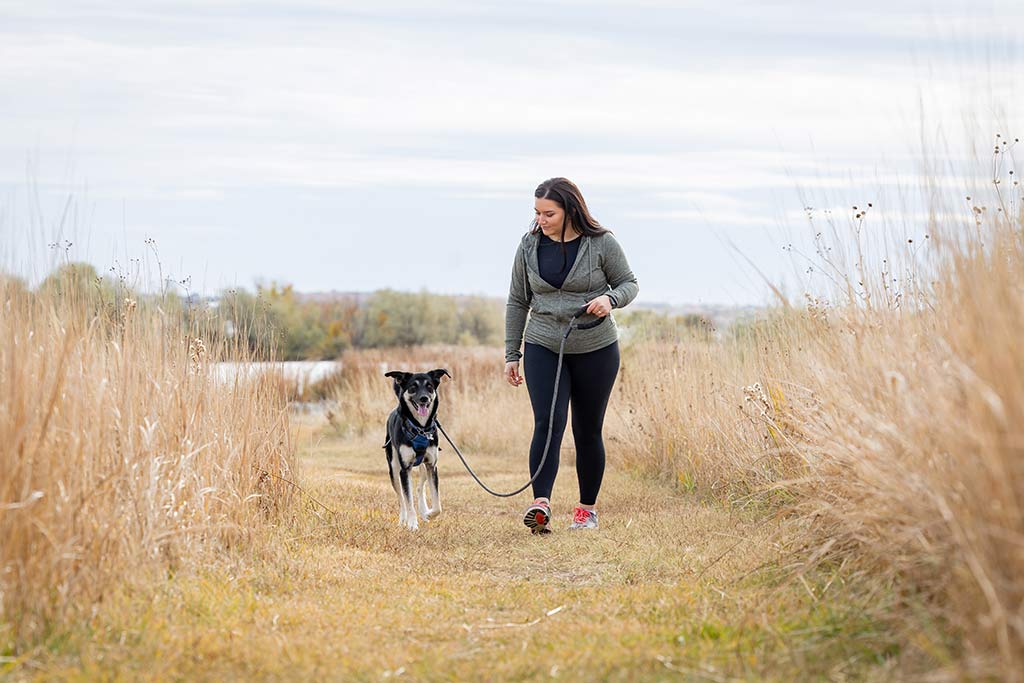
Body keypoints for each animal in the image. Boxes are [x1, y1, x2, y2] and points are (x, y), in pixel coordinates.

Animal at [382, 370, 450, 532]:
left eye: (429, 386)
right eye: (413, 387)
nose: (424, 398)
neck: (420, 428)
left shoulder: (432, 465)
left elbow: (437, 504)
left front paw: (429, 514)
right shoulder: (404, 469)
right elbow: (408, 500)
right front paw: (412, 523)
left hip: (423, 467)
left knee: (420, 488)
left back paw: (424, 511)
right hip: (393, 469)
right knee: (401, 498)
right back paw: (403, 519)